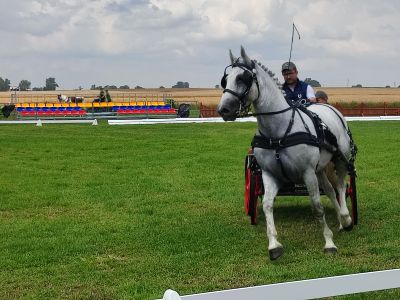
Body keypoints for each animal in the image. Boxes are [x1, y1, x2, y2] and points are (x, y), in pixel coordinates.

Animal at [217, 46, 358, 260]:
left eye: (243, 78)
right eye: (225, 79)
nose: (223, 109)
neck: (278, 132)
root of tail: (328, 107)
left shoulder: (307, 173)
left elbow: (317, 207)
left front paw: (329, 243)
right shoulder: (270, 174)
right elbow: (267, 205)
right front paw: (274, 245)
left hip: (340, 160)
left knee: (341, 187)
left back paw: (346, 218)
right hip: (320, 169)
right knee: (330, 190)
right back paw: (342, 222)